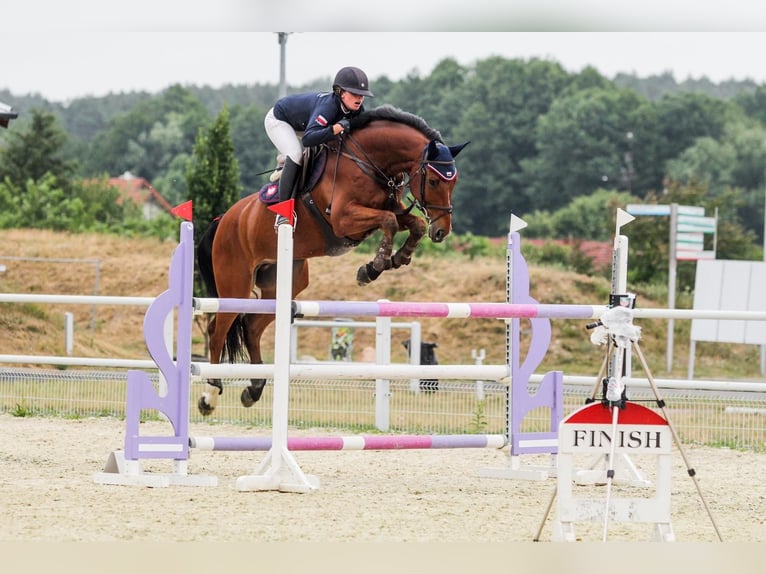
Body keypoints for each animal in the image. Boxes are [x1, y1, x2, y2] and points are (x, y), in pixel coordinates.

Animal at [195, 106, 472, 416]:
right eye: (434, 180)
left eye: (454, 181)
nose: (442, 231)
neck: (368, 163)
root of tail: (224, 219)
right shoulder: (344, 219)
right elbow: (389, 221)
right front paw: (373, 268)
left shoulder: (389, 210)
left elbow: (413, 223)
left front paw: (397, 258)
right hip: (236, 283)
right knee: (217, 330)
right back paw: (209, 395)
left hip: (284, 282)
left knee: (252, 327)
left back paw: (253, 389)